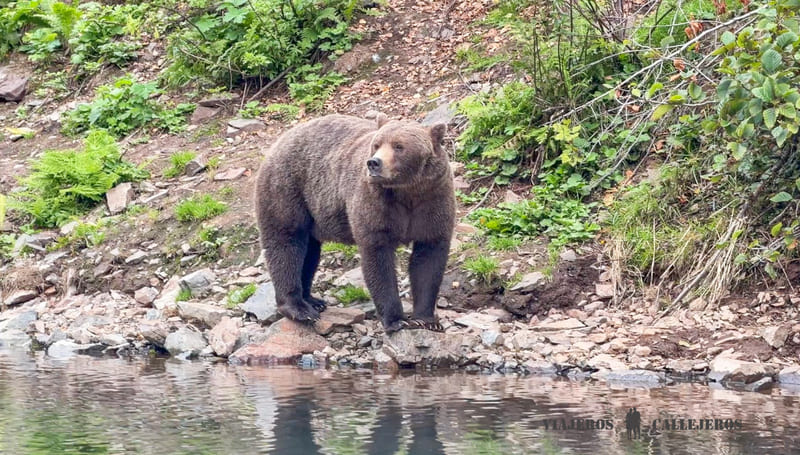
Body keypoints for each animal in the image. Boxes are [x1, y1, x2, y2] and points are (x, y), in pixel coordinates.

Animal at [254, 113, 455, 333]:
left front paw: (426, 319)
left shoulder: (433, 202)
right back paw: (299, 308)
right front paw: (396, 320)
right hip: (287, 187)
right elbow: (378, 259)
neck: (406, 192)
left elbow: (428, 259)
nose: (374, 163)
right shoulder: (375, 205)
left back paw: (313, 300)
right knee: (286, 243)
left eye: (399, 146)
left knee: (310, 251)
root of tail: (281, 139)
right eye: (377, 144)